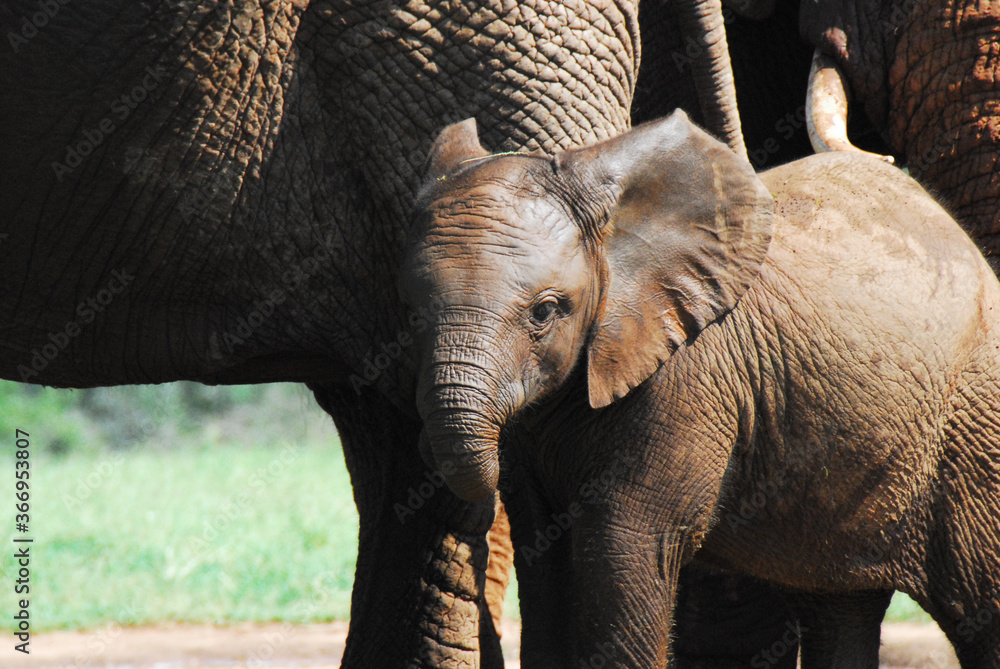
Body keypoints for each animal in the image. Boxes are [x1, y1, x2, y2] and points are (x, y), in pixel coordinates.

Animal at [401, 111, 1000, 668]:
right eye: (411, 311)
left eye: (545, 312)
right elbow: (544, 554)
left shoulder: (687, 379)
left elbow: (627, 544)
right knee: (838, 606)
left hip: (972, 427)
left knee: (981, 604)